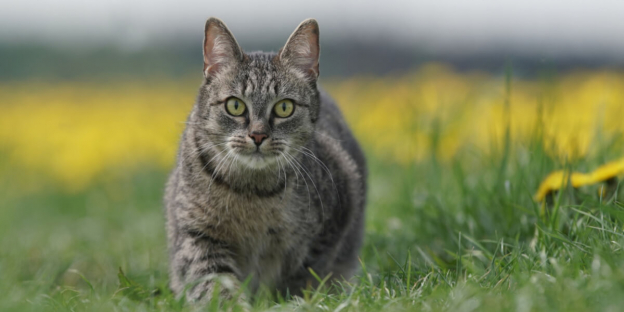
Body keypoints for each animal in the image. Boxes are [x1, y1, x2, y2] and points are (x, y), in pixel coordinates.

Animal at [166, 17, 368, 302]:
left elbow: (304, 275)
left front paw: (290, 302)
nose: (258, 135)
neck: (252, 193)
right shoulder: (196, 234)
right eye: (235, 105)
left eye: (284, 107)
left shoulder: (336, 216)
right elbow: (213, 283)